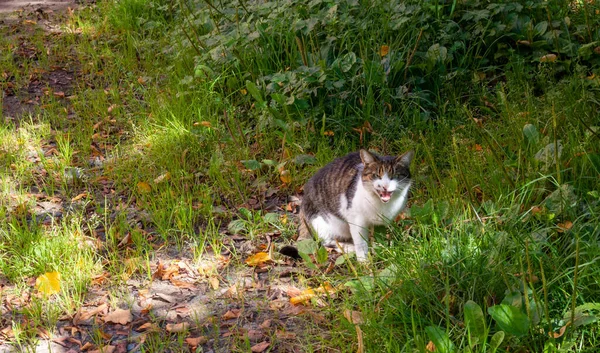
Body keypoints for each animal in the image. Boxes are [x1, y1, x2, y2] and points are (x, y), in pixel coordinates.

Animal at [280, 148, 412, 262]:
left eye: (395, 176)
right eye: (376, 175)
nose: (384, 186)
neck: (380, 205)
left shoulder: (381, 224)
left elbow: (378, 237)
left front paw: (379, 249)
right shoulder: (357, 220)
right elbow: (360, 243)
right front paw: (364, 262)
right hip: (324, 223)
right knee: (326, 241)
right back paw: (348, 247)